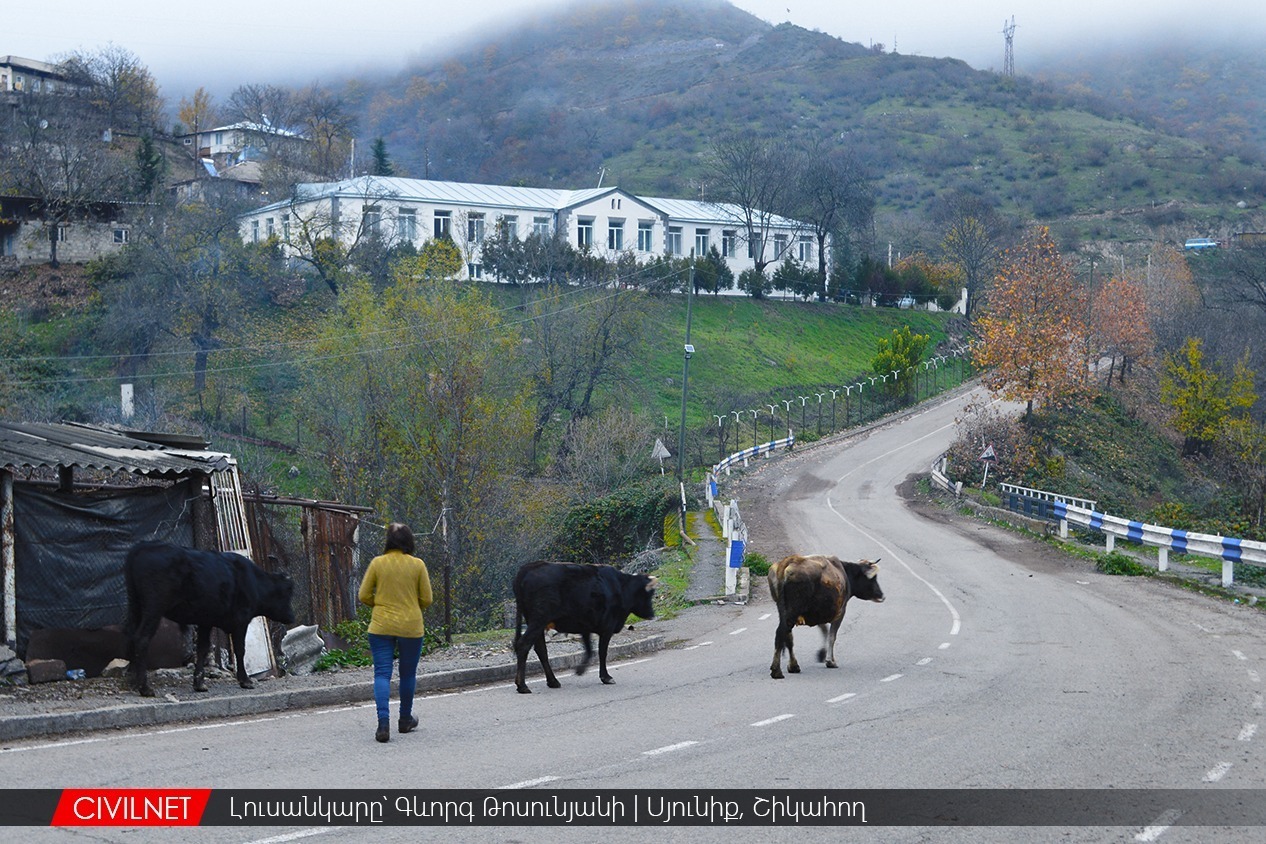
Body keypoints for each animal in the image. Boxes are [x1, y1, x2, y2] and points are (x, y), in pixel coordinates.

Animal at [126, 544, 298, 698]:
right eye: (287, 593)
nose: (292, 616)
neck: (253, 581)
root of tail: (142, 547)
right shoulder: (241, 622)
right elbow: (240, 650)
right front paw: (245, 680)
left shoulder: (206, 621)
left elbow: (203, 648)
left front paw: (199, 683)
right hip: (154, 608)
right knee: (142, 639)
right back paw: (145, 688)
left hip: (136, 608)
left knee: (131, 637)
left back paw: (133, 680)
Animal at [511, 561, 658, 693]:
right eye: (649, 594)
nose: (652, 614)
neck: (621, 586)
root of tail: (530, 566)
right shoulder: (607, 627)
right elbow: (602, 652)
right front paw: (606, 677)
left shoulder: (585, 626)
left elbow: (589, 650)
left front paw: (580, 669)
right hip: (538, 620)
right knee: (524, 644)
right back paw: (522, 686)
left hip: (536, 622)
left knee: (541, 649)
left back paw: (552, 681)